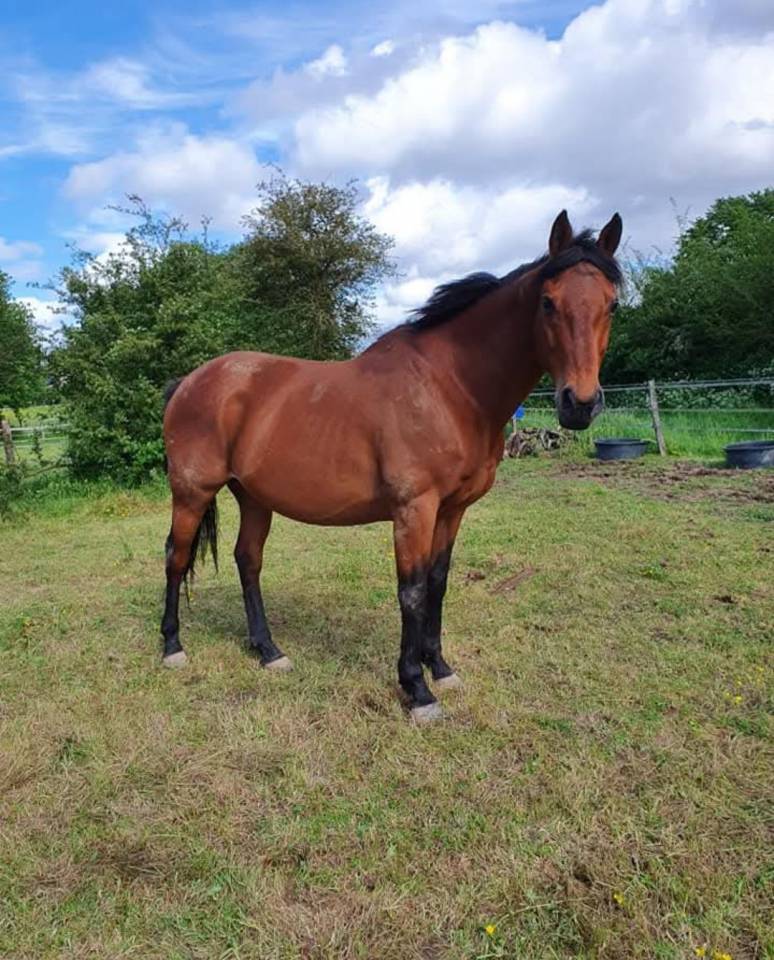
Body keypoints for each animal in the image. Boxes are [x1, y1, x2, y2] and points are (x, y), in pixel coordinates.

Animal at [161, 210, 623, 722]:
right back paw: (173, 648)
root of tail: (190, 382)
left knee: (248, 560)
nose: (579, 404)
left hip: (254, 497)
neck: (451, 389)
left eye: (612, 305)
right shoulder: (413, 510)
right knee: (176, 556)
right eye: (547, 302)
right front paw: (417, 690)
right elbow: (412, 590)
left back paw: (268, 652)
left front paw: (440, 668)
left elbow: (438, 583)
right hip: (192, 492)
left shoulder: (452, 510)